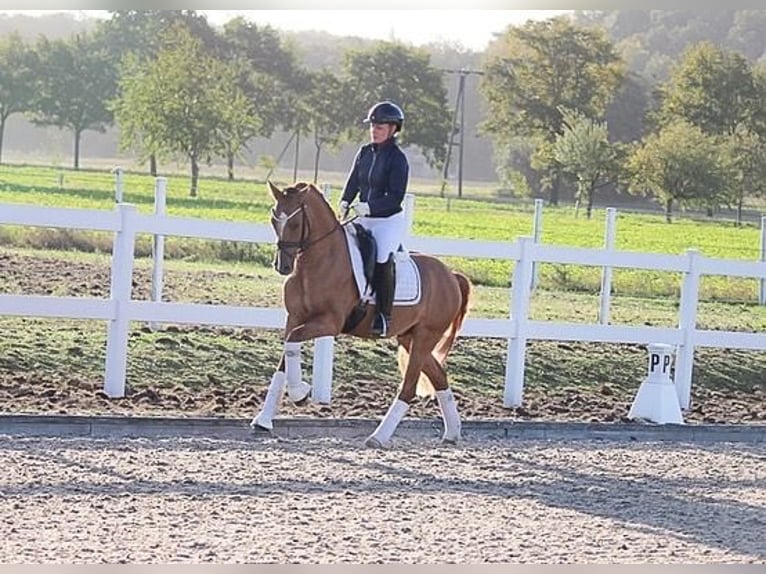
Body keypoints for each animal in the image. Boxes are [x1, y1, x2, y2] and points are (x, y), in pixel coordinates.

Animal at [252, 181, 474, 450]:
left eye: (294, 224)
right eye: (274, 220)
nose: (282, 266)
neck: (318, 262)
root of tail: (452, 276)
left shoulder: (329, 323)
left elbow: (293, 339)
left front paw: (299, 393)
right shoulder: (294, 317)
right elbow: (286, 353)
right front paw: (266, 419)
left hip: (425, 336)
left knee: (409, 388)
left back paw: (379, 437)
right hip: (409, 338)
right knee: (439, 376)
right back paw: (452, 433)